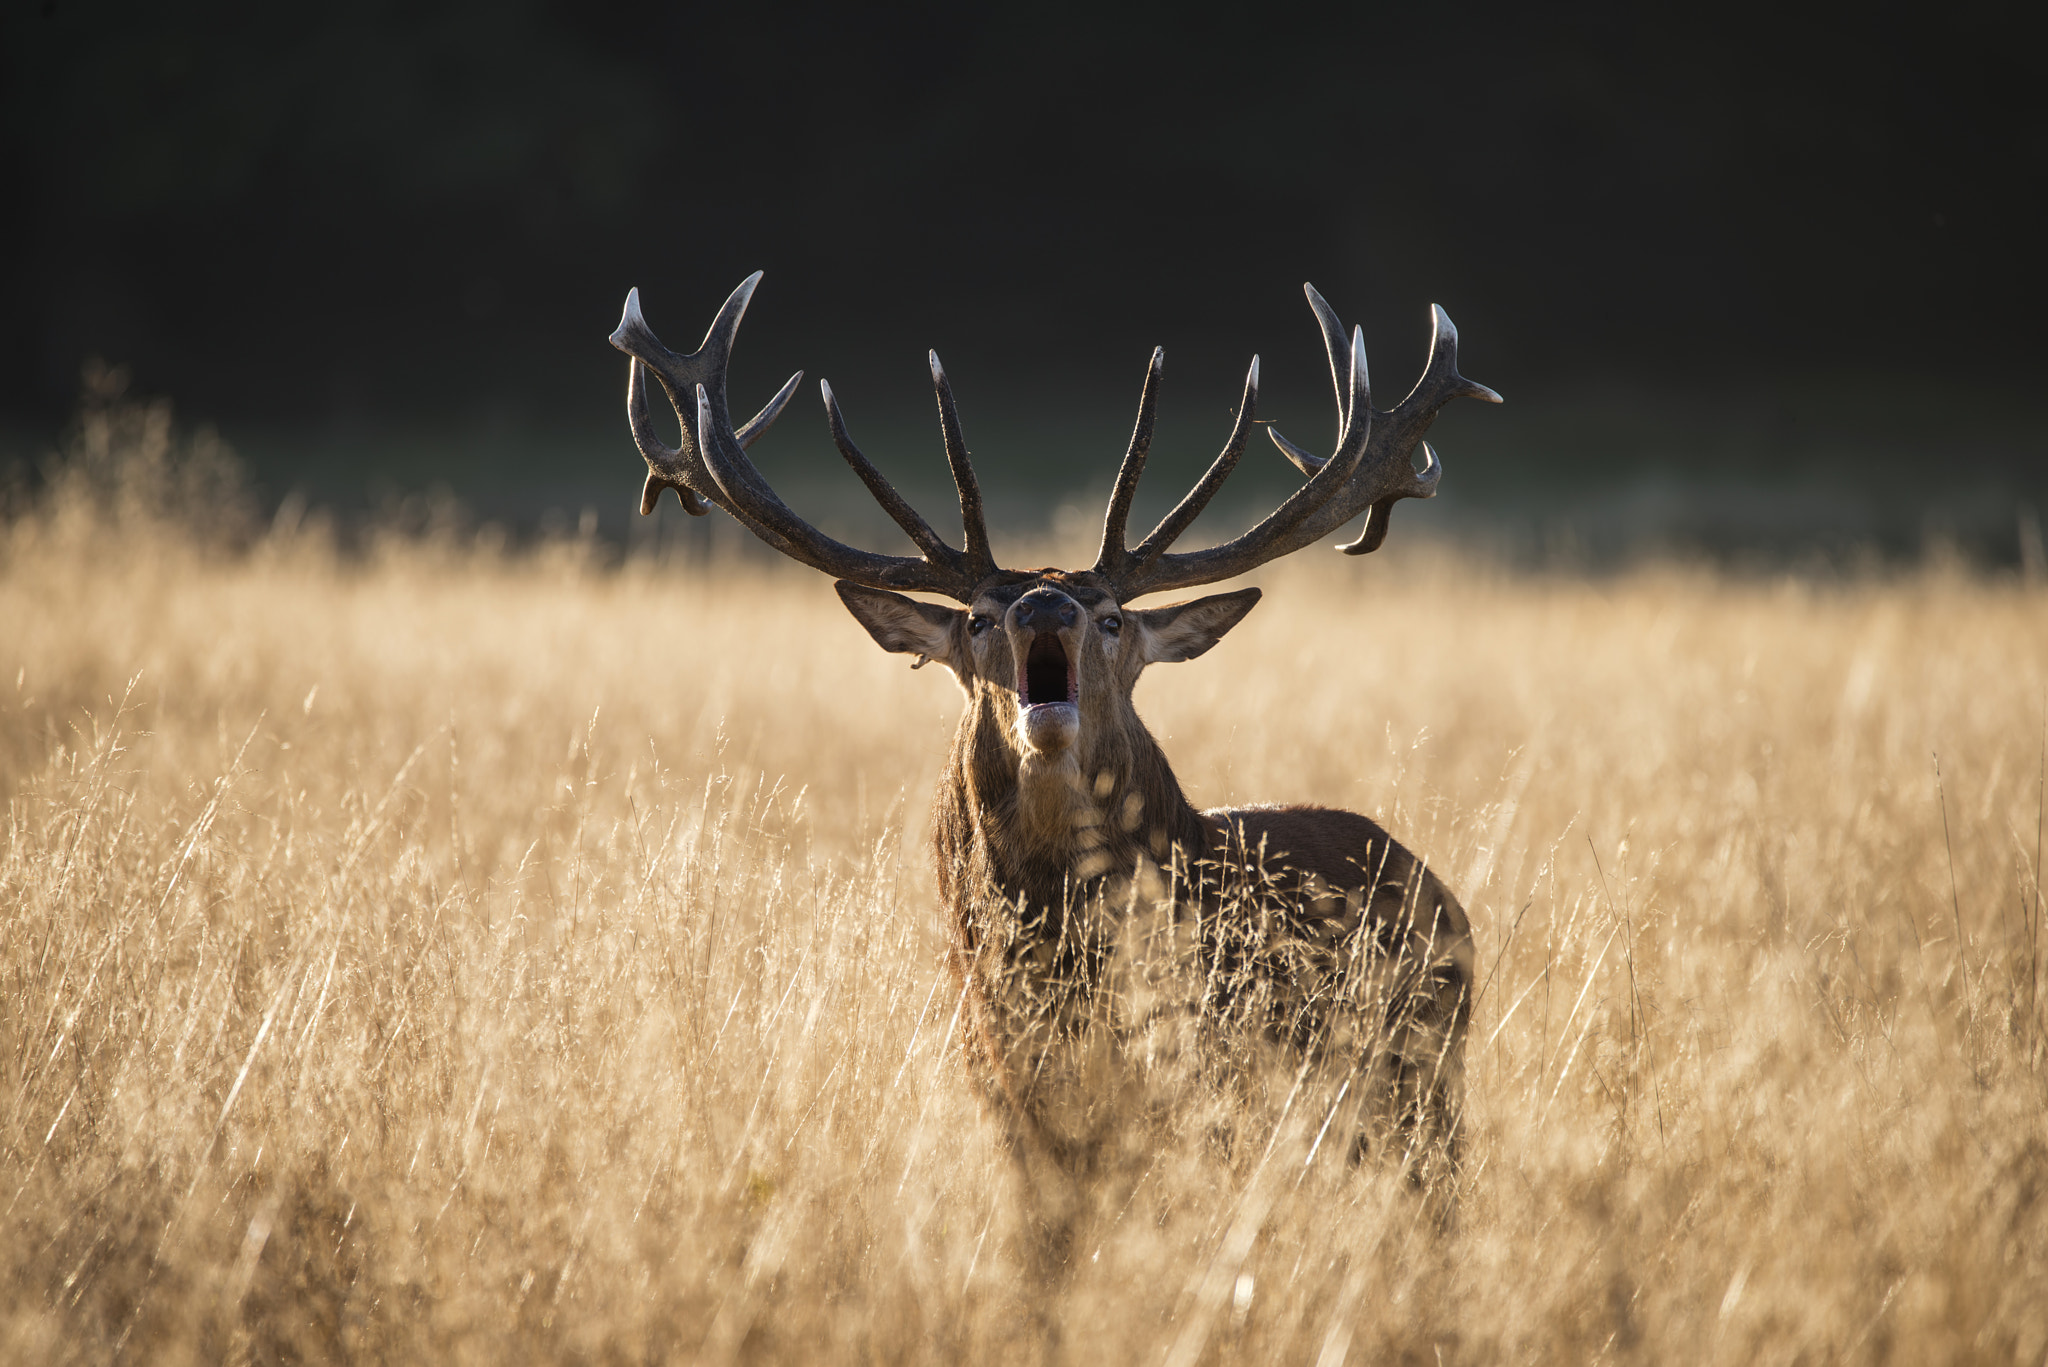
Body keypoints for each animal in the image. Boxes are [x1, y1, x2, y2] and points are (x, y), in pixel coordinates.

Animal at [607, 273, 1500, 1250]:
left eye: (1111, 616)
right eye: (976, 619)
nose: (1044, 604)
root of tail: (1438, 889)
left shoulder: (1213, 1095)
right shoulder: (1005, 1100)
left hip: (1423, 1090)